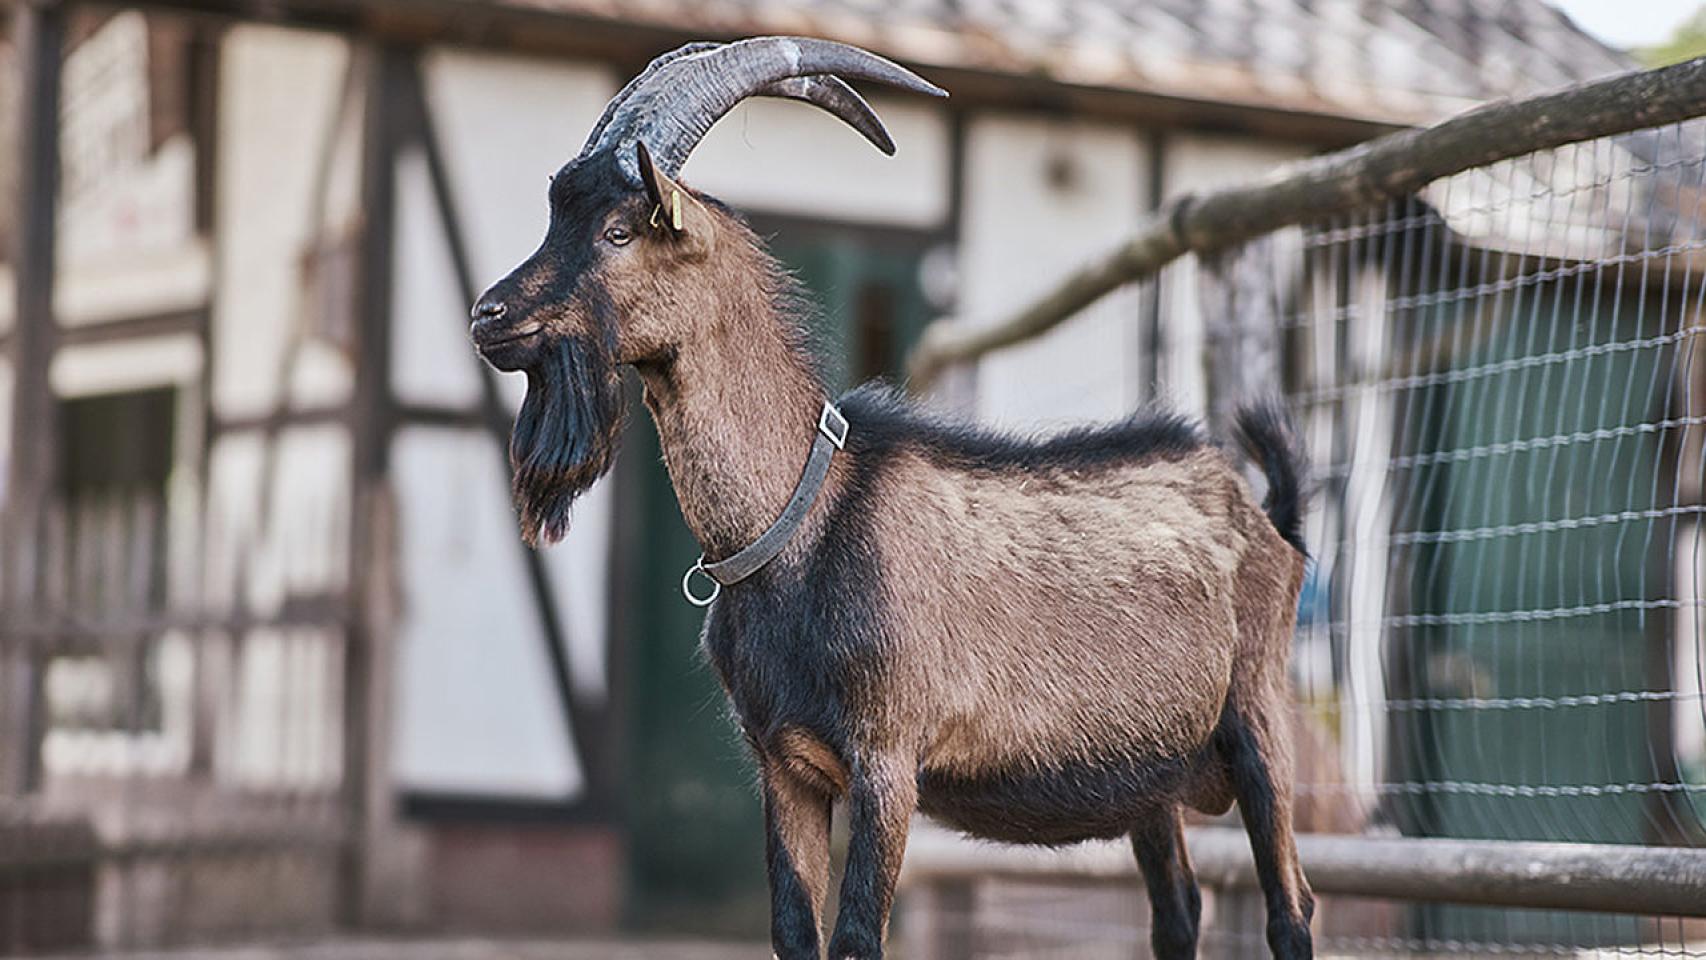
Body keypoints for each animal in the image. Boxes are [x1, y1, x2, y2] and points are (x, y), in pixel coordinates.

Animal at [474, 33, 1310, 954]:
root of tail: (1267, 518)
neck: (796, 519)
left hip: (1260, 720)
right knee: (1177, 908)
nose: (487, 315)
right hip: (1152, 779)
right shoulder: (785, 766)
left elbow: (854, 936)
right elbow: (793, 931)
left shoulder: (886, 761)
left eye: (618, 230)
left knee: (1289, 905)